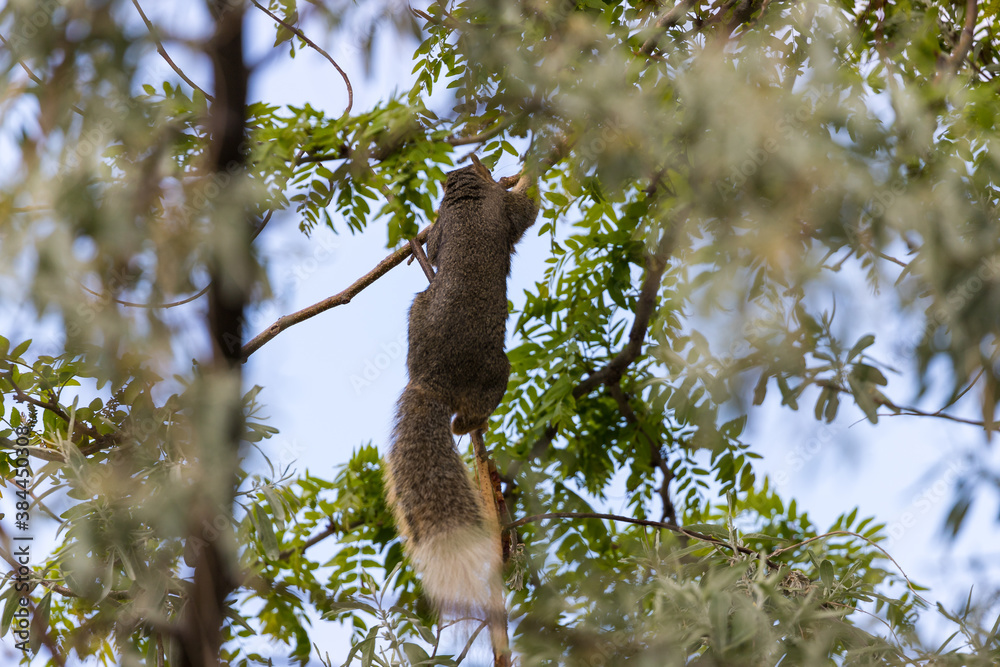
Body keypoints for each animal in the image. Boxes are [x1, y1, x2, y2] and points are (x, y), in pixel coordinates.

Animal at [384, 157, 538, 617]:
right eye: (484, 168)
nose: (491, 166)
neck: (464, 201)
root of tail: (429, 383)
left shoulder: (441, 231)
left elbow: (434, 244)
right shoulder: (503, 208)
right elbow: (526, 209)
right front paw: (531, 171)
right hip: (497, 373)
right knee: (464, 418)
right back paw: (470, 424)